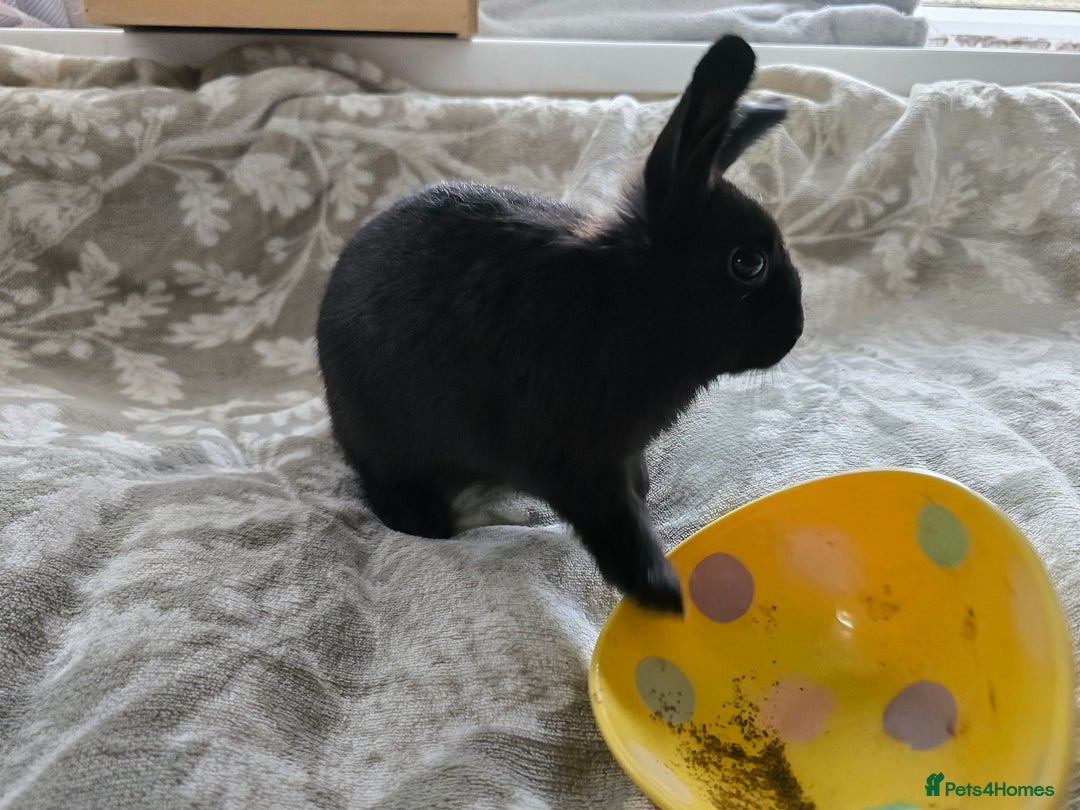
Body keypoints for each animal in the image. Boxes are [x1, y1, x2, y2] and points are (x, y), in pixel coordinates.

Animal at [316, 34, 802, 615]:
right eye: (747, 263)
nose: (797, 329)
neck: (629, 301)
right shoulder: (577, 464)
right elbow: (617, 527)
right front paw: (664, 594)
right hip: (388, 442)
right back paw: (425, 525)